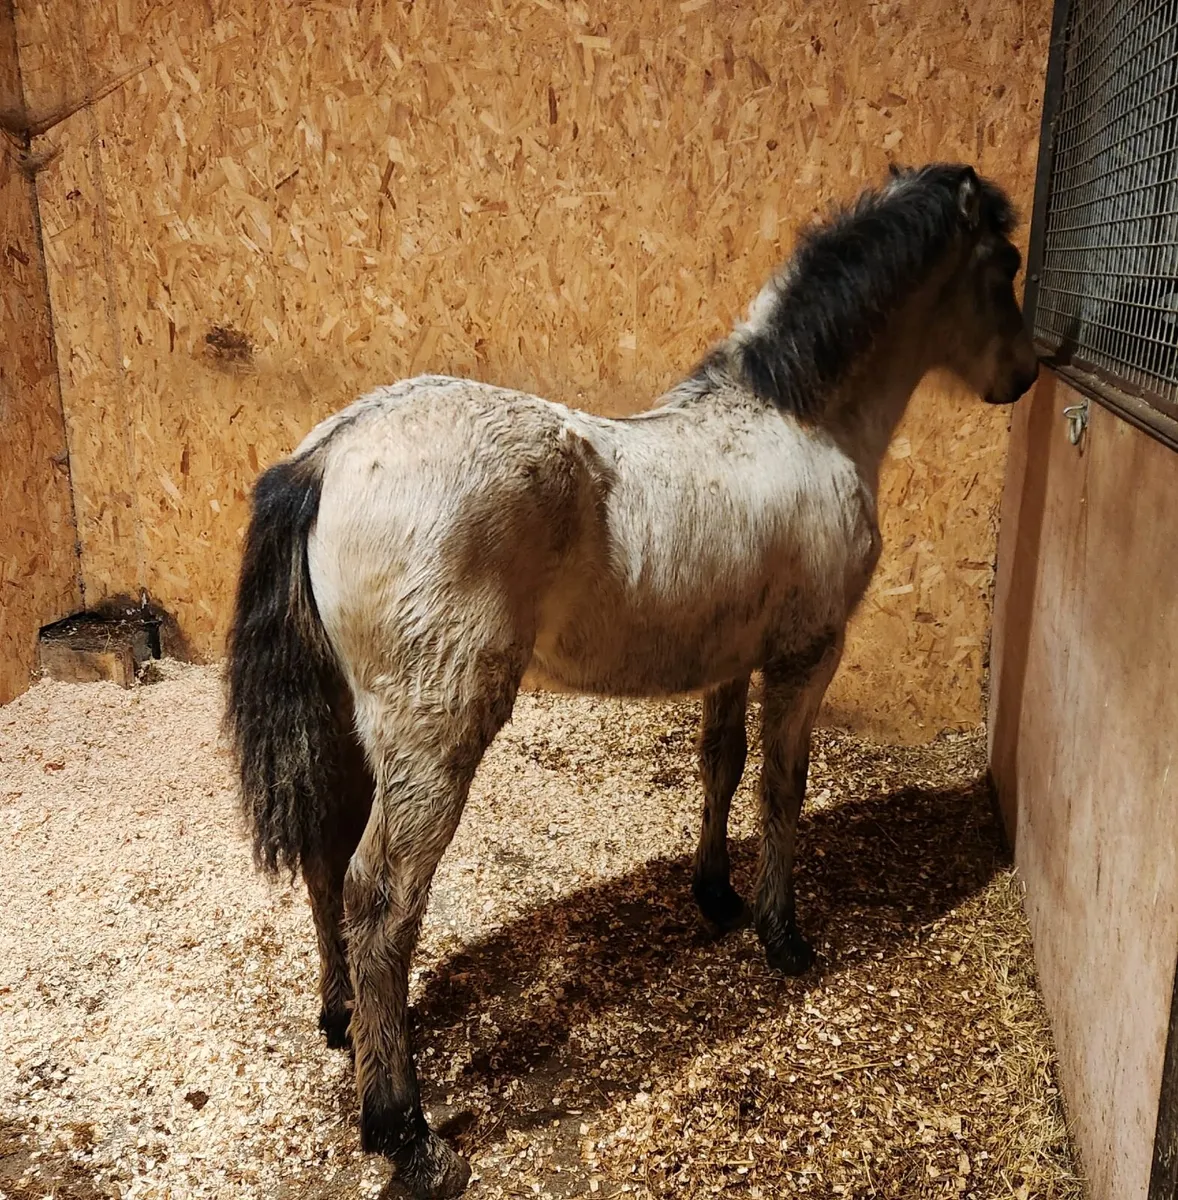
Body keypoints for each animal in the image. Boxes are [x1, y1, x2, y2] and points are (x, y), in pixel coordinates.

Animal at [225, 162, 1038, 1199]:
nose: (1024, 374)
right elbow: (782, 787)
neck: (800, 420)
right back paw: (403, 1128)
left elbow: (721, 766)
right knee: (379, 896)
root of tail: (327, 454)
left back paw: (342, 1024)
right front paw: (783, 936)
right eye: (1003, 265)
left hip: (343, 720)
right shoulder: (808, 654)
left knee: (327, 860)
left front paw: (716, 896)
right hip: (435, 734)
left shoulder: (733, 657)